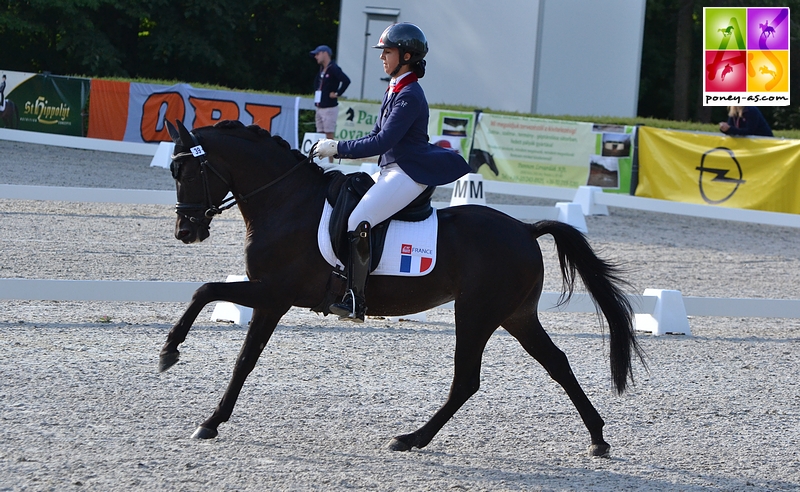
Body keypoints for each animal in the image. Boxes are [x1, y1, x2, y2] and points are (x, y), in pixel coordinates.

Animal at [159, 119, 648, 458]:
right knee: (557, 364)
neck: (287, 202)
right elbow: (240, 352)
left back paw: (411, 438)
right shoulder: (269, 298)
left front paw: (172, 358)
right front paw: (209, 415)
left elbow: (207, 296)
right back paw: (598, 438)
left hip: (477, 313)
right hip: (516, 315)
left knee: (466, 380)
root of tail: (526, 230)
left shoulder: (275, 294)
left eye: (185, 170)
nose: (186, 231)